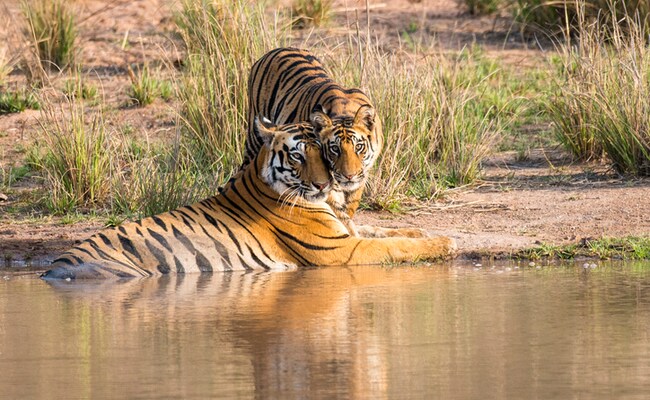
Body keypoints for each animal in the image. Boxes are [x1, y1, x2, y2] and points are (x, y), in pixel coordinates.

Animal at [42, 118, 456, 279]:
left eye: (325, 151)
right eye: (298, 156)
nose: (325, 184)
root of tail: (53, 267)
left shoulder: (346, 230)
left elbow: (388, 231)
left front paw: (423, 231)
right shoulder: (340, 251)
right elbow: (393, 246)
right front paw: (446, 242)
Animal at [244, 47, 427, 239]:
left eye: (359, 147)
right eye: (334, 149)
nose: (349, 176)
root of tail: (280, 49)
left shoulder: (360, 179)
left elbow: (350, 212)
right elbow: (341, 217)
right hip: (254, 139)